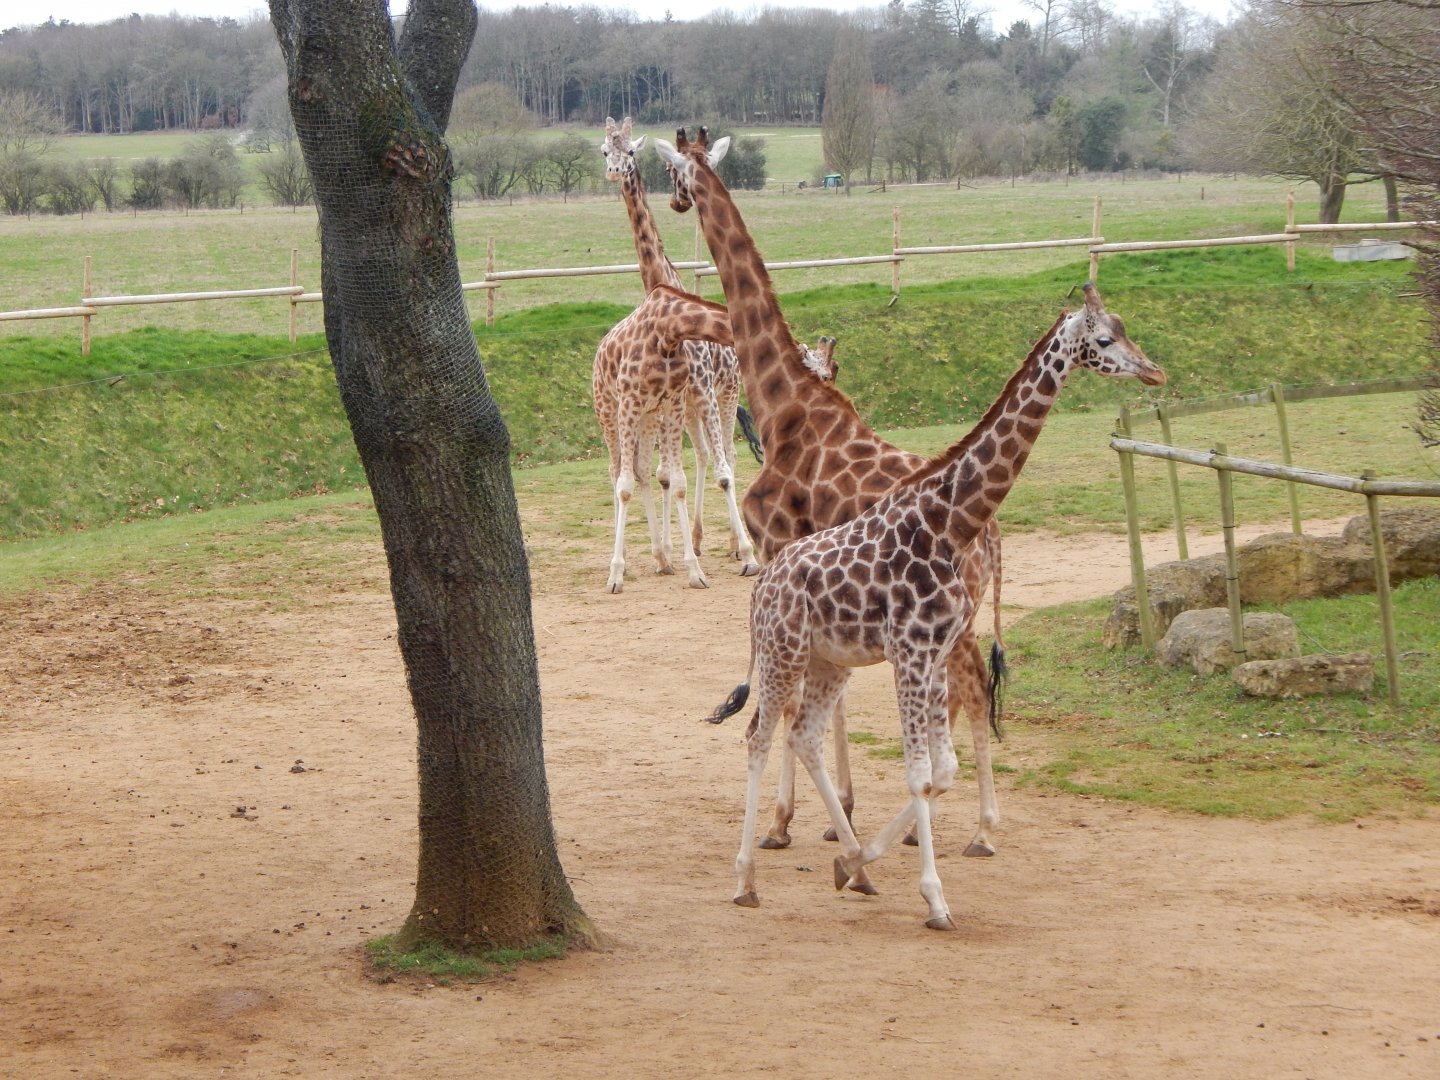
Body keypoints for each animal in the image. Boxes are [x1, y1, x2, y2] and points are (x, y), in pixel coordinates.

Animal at [596, 116, 758, 591]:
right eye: (604, 150)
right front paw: (667, 553)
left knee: (726, 458)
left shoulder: (701, 390)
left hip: (724, 394)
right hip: (685, 409)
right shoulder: (669, 402)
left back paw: (734, 545)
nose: (615, 172)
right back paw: (697, 541)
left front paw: (746, 554)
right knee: (693, 459)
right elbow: (665, 474)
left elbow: (719, 470)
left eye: (631, 151)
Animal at [654, 128, 1007, 868]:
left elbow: (792, 701)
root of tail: (994, 533)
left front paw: (785, 820)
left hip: (948, 616)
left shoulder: (777, 547)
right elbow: (821, 695)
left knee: (968, 686)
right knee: (970, 688)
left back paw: (978, 829)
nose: (674, 202)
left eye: (673, 171)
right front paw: (834, 810)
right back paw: (956, 825)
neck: (783, 403)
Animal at [709, 284, 1166, 928]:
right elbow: (920, 773)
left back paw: (854, 866)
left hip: (829, 661)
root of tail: (760, 587)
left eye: (1127, 328)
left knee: (803, 736)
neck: (950, 523)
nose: (1155, 372)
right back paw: (746, 879)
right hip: (783, 653)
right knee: (757, 736)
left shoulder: (935, 651)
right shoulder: (911, 652)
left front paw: (859, 863)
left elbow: (941, 770)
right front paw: (935, 899)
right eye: (1104, 339)